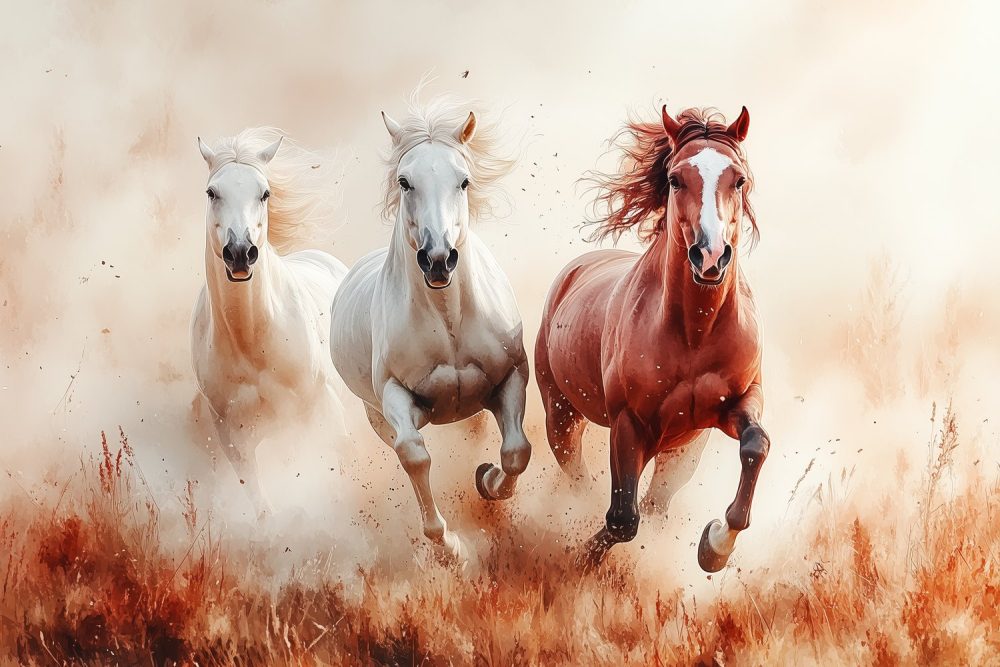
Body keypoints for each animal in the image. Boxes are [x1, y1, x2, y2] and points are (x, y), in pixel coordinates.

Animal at [191, 128, 351, 517]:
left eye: (264, 193)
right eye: (212, 192)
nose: (240, 253)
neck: (251, 341)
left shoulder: (325, 412)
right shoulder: (233, 437)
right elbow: (262, 508)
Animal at [330, 97, 532, 563]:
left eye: (464, 181)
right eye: (405, 181)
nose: (438, 259)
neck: (448, 322)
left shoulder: (512, 376)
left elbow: (516, 452)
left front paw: (487, 479)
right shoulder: (394, 395)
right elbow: (415, 457)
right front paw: (452, 549)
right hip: (381, 415)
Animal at [535, 105, 768, 572]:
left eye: (739, 179)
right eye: (676, 179)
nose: (710, 256)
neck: (694, 333)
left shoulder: (736, 402)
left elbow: (756, 444)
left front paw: (715, 546)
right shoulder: (629, 423)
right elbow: (623, 518)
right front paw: (579, 562)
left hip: (683, 447)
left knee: (658, 500)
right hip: (561, 414)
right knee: (579, 479)